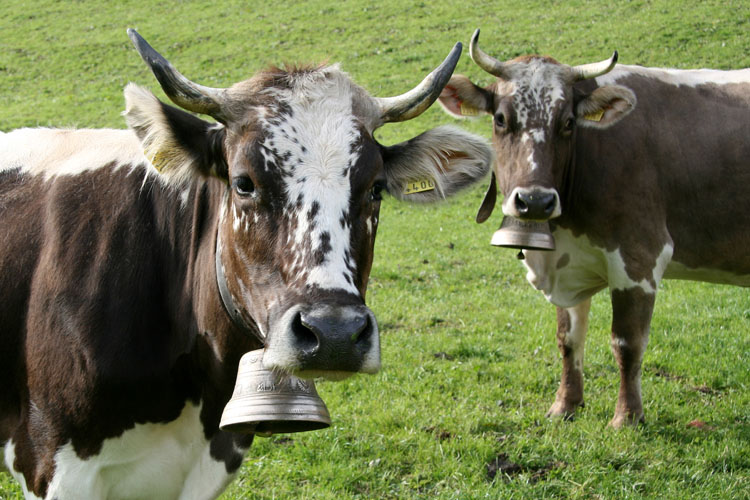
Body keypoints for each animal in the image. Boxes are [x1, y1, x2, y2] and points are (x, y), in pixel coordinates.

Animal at [438, 28, 750, 426]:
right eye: (501, 119)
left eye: (569, 122)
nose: (535, 201)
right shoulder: (567, 262)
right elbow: (568, 340)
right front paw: (565, 406)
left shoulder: (639, 257)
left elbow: (627, 343)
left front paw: (627, 416)